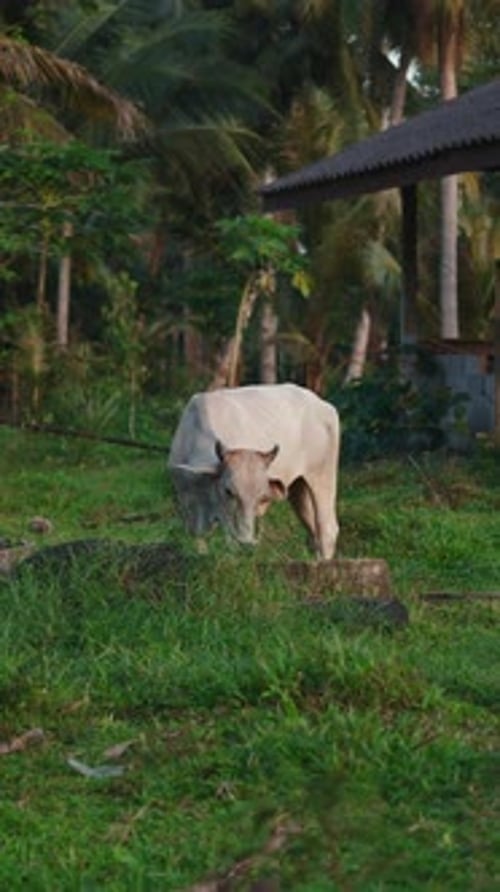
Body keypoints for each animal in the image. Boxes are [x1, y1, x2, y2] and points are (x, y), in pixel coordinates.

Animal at [167, 383, 340, 559]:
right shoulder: (186, 503)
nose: (246, 543)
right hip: (298, 487)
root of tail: (323, 405)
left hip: (322, 476)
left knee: (327, 529)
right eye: (228, 491)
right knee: (312, 532)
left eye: (261, 496)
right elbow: (198, 538)